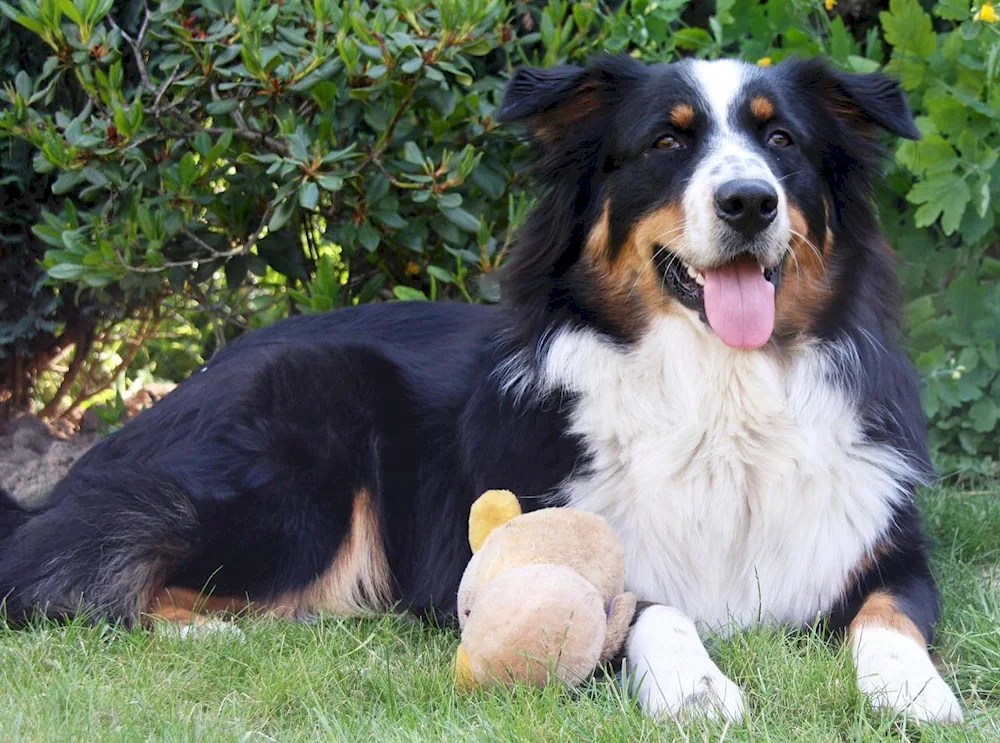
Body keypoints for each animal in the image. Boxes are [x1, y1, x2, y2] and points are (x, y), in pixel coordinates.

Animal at [1, 58, 968, 728]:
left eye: (782, 142)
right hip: (301, 452)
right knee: (58, 572)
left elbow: (890, 614)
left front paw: (914, 690)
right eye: (667, 141)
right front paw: (696, 686)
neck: (719, 394)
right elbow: (647, 607)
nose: (748, 202)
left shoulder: (885, 548)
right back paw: (219, 632)